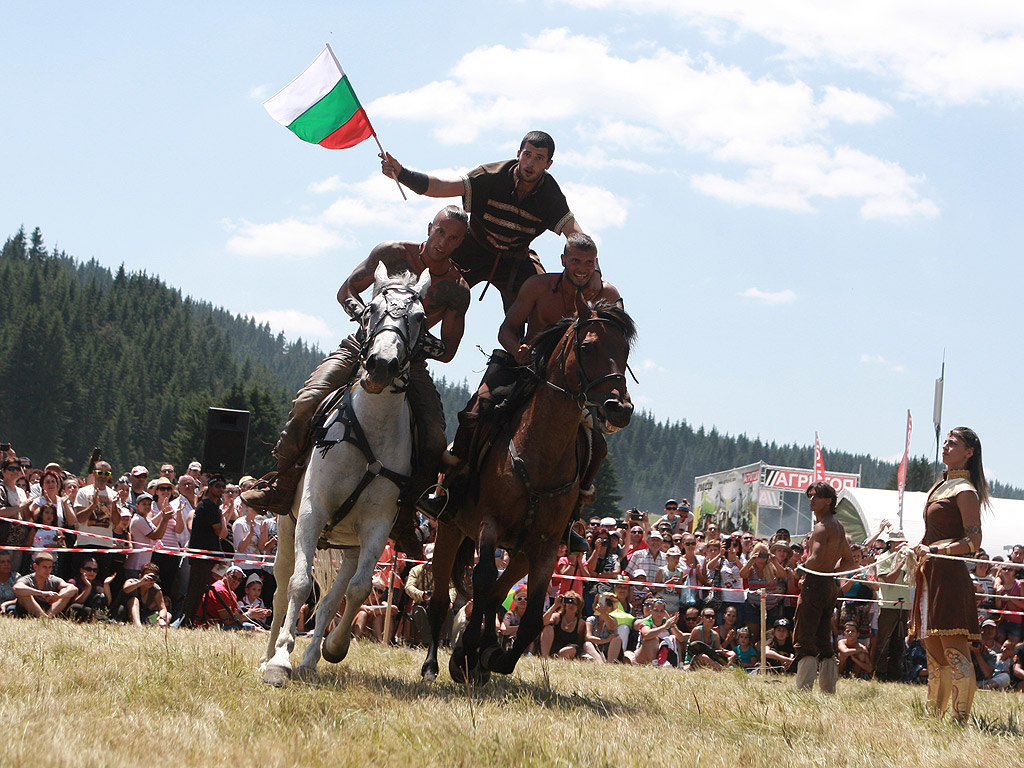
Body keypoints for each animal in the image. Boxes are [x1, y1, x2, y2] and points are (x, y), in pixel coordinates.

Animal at [417, 296, 630, 684]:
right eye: (588, 347)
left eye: (624, 350)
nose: (619, 407)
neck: (541, 450)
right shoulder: (488, 525)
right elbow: (484, 581)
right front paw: (464, 655)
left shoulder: (545, 545)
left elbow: (528, 616)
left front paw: (491, 656)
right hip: (450, 530)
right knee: (442, 598)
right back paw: (433, 664)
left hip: (519, 550)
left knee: (497, 593)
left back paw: (483, 653)